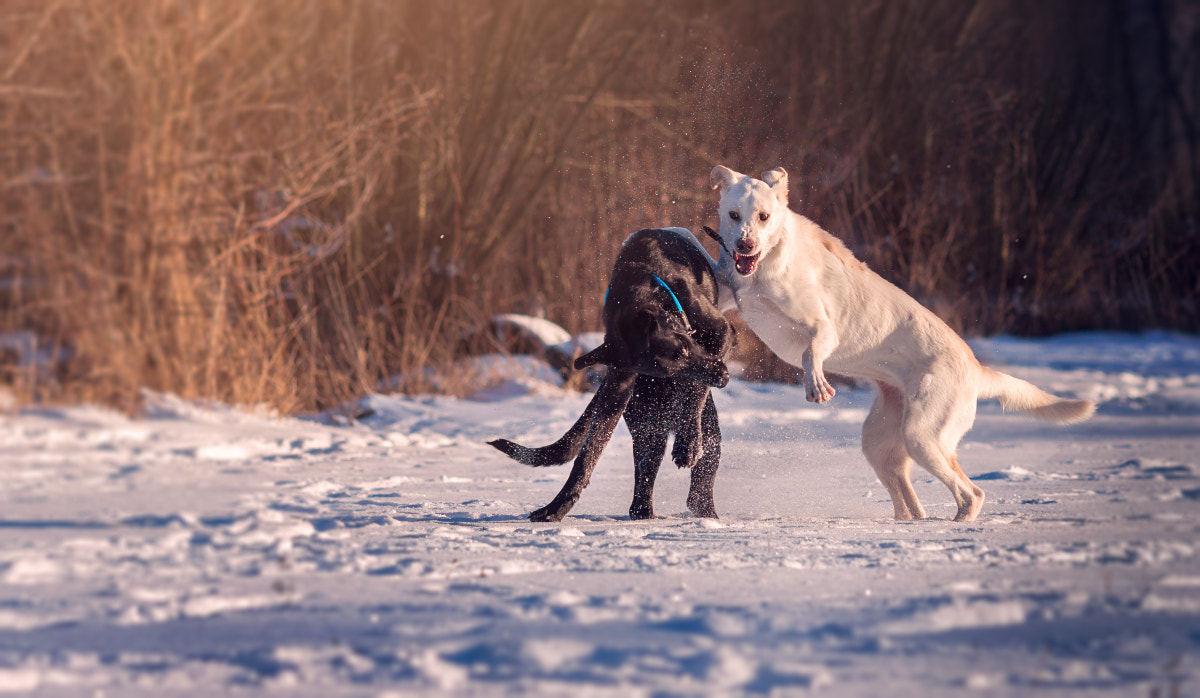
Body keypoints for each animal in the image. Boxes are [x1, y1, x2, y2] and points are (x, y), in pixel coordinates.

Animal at [484, 226, 729, 522]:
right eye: (671, 363)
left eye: (684, 347)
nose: (724, 376)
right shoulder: (618, 386)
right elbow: (586, 459)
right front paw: (556, 507)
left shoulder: (722, 332)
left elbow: (694, 386)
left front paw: (688, 443)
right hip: (648, 428)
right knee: (644, 495)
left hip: (703, 434)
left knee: (698, 484)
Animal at [710, 166, 1099, 522]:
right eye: (734, 215)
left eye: (764, 216)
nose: (745, 245)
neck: (767, 262)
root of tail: (976, 369)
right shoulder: (731, 296)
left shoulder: (825, 328)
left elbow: (811, 351)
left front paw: (817, 384)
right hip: (880, 442)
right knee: (909, 499)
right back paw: (911, 523)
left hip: (922, 436)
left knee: (971, 493)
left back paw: (957, 525)